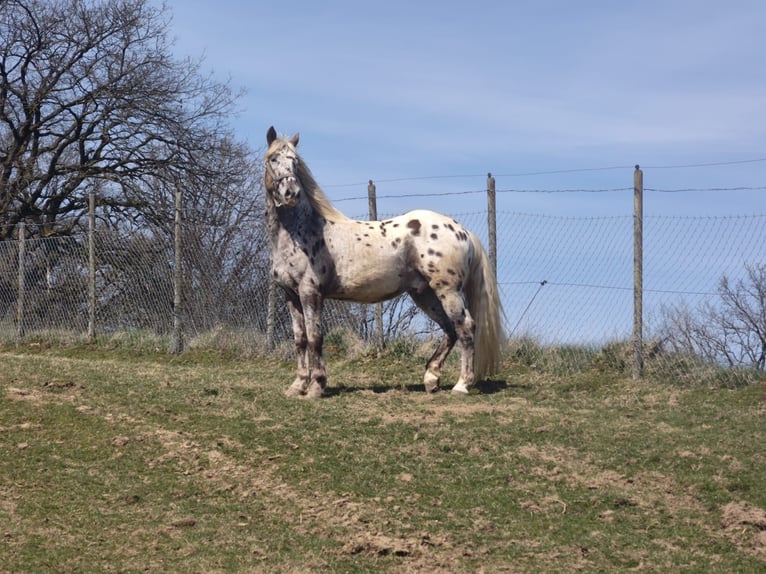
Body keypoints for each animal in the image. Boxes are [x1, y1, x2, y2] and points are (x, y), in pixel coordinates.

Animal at [264, 126, 504, 398]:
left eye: (294, 161)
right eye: (273, 159)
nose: (291, 193)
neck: (301, 231)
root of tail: (462, 231)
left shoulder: (310, 292)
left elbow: (315, 338)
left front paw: (316, 386)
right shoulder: (290, 295)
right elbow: (300, 339)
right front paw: (297, 386)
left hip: (448, 291)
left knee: (465, 327)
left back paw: (461, 385)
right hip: (424, 294)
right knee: (450, 329)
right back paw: (431, 379)